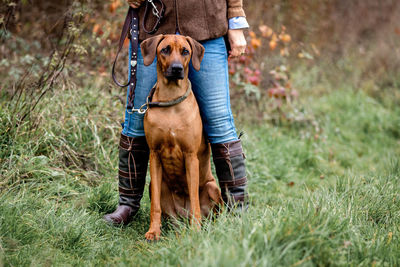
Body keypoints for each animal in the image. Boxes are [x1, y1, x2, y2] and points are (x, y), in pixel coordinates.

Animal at [140, 34, 222, 242]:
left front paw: (196, 231)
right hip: (156, 187)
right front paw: (153, 231)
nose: (177, 68)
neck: (171, 101)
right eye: (165, 50)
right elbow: (155, 206)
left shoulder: (190, 156)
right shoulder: (154, 155)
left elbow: (194, 199)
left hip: (212, 187)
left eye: (185, 51)